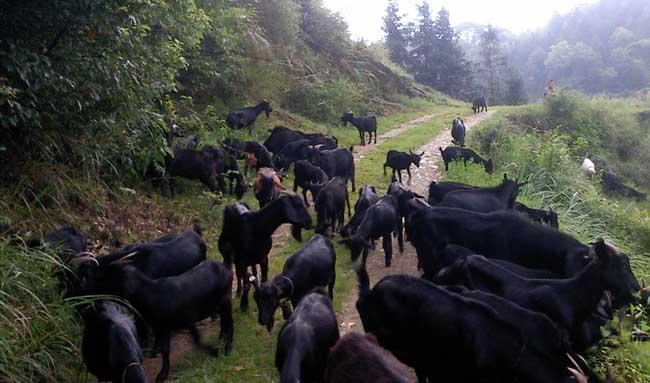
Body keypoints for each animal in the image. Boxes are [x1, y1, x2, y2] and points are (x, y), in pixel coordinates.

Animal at [91, 262, 233, 382]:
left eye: (112, 279)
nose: (94, 295)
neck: (152, 295)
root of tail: (225, 269)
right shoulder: (163, 327)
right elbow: (165, 349)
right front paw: (162, 374)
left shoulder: (187, 320)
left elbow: (196, 339)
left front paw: (214, 351)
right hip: (216, 305)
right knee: (224, 321)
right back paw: (222, 338)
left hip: (225, 300)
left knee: (229, 321)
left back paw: (227, 348)